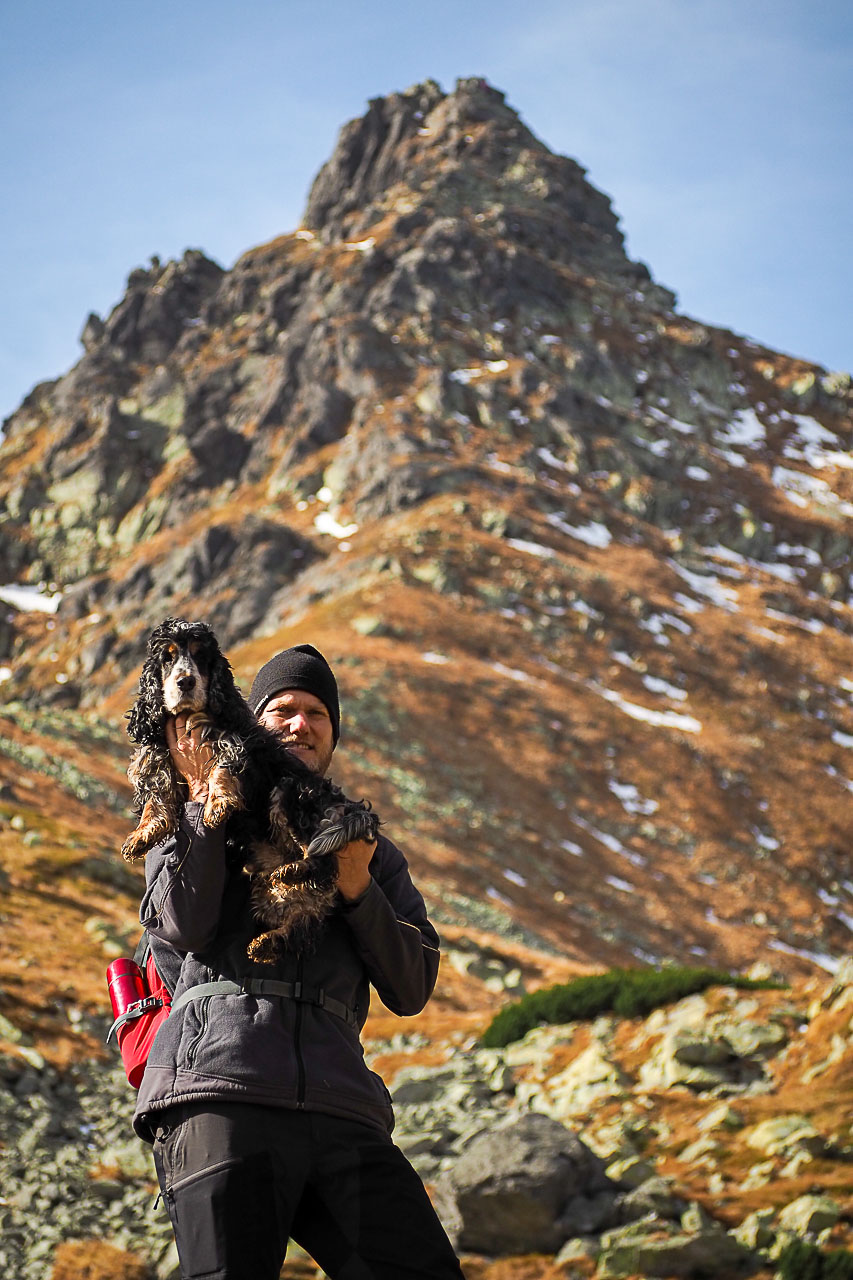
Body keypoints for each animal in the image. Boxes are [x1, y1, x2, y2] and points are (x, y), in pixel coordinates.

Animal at [122, 619, 379, 962]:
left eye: (200, 656)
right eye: (168, 657)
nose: (186, 682)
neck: (187, 714)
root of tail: (351, 809)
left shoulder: (231, 739)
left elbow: (221, 768)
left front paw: (218, 804)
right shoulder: (157, 753)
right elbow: (156, 797)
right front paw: (141, 836)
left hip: (291, 795)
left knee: (321, 862)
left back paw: (292, 869)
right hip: (275, 890)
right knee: (303, 922)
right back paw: (267, 940)